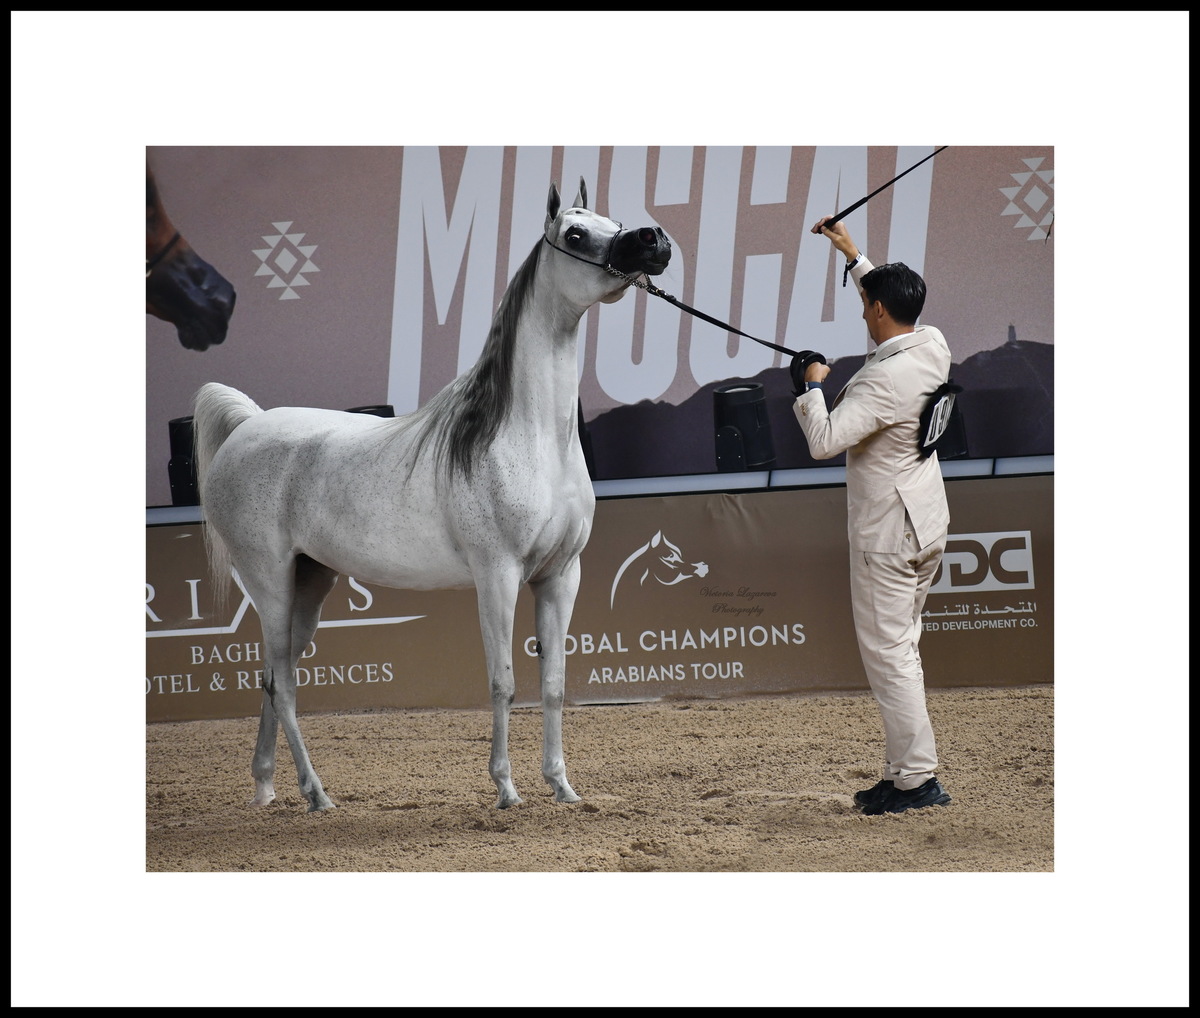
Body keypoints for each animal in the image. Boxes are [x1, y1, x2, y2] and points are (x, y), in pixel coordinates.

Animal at [193, 178, 671, 812]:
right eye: (574, 233)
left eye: (612, 221)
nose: (652, 240)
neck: (530, 436)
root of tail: (247, 426)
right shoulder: (498, 575)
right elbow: (504, 681)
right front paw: (506, 789)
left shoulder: (560, 575)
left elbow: (553, 684)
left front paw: (562, 786)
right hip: (269, 580)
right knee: (283, 684)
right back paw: (317, 795)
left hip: (309, 583)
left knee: (275, 678)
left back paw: (268, 788)